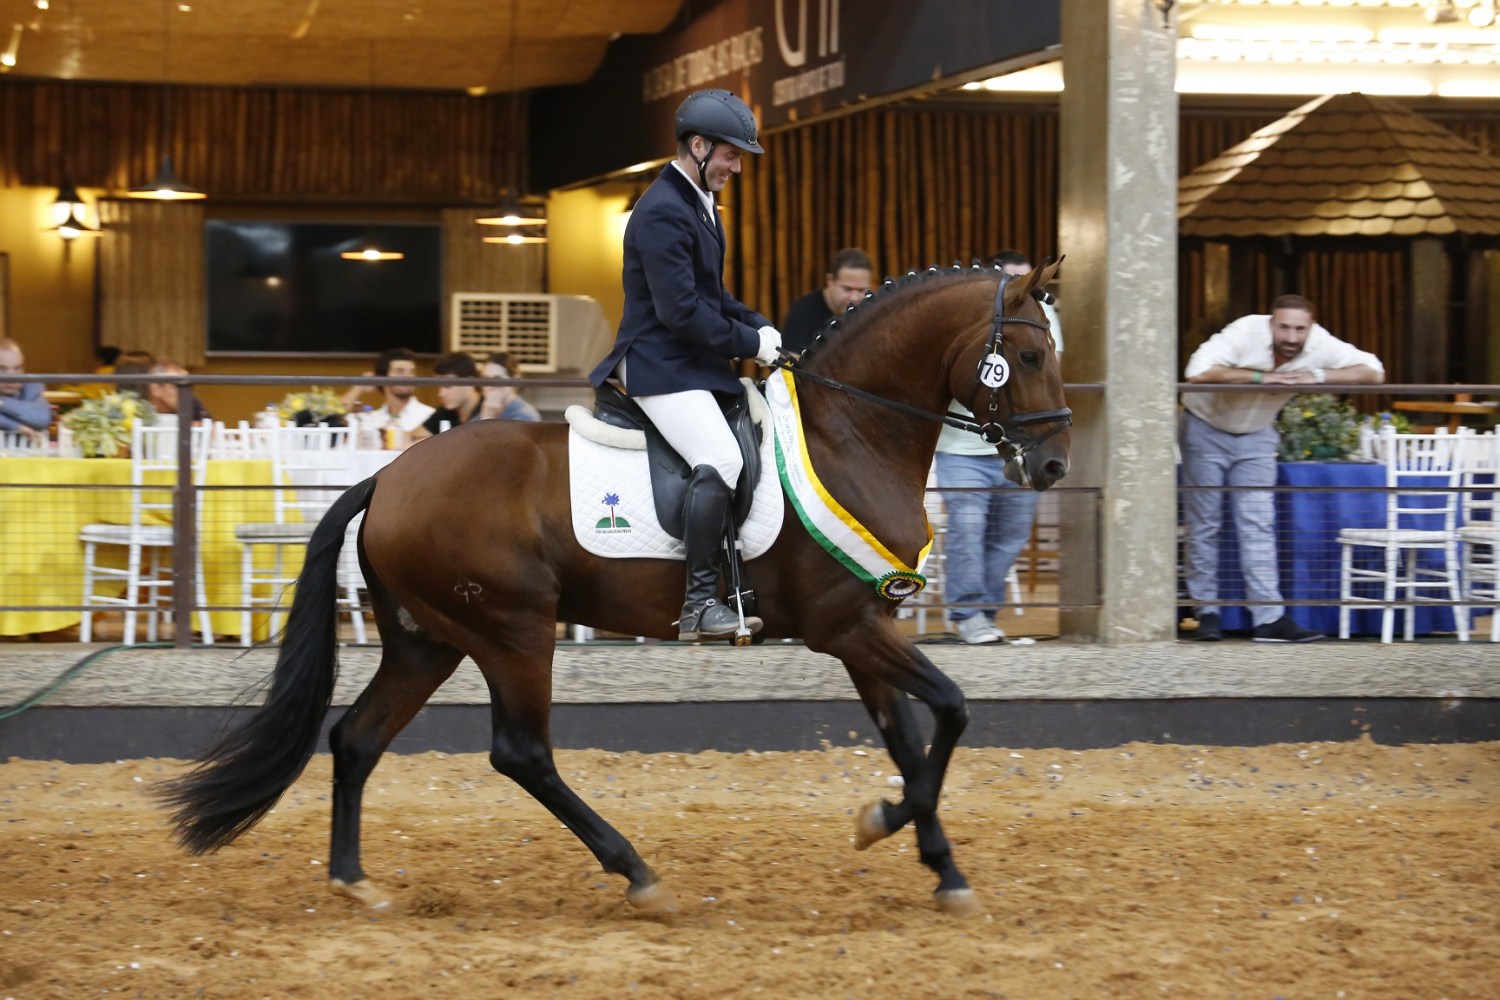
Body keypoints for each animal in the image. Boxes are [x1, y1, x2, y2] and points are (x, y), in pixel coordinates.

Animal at [161, 257, 1068, 917]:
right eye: (1028, 355)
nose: (1054, 466)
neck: (852, 431)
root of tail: (386, 476)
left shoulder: (862, 626)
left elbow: (910, 740)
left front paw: (938, 865)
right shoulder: (845, 627)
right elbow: (951, 710)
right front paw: (884, 824)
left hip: (429, 642)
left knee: (356, 739)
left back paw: (354, 881)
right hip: (514, 632)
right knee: (521, 753)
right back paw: (636, 872)